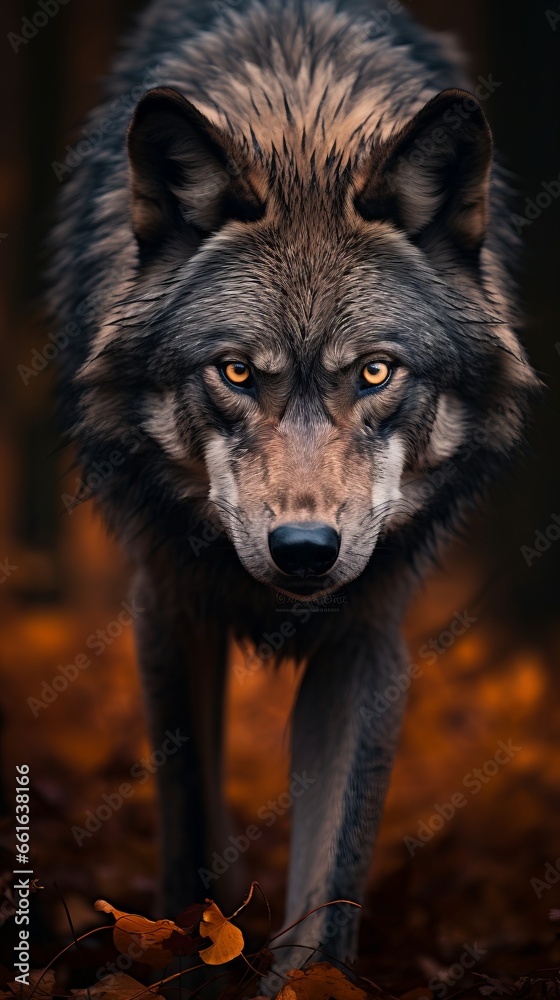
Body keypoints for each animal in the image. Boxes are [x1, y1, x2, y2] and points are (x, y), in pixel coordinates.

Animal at [51, 0, 538, 974]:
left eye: (377, 372)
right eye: (236, 372)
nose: (305, 551)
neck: (302, 125)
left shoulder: (367, 636)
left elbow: (329, 887)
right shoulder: (169, 608)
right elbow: (194, 838)